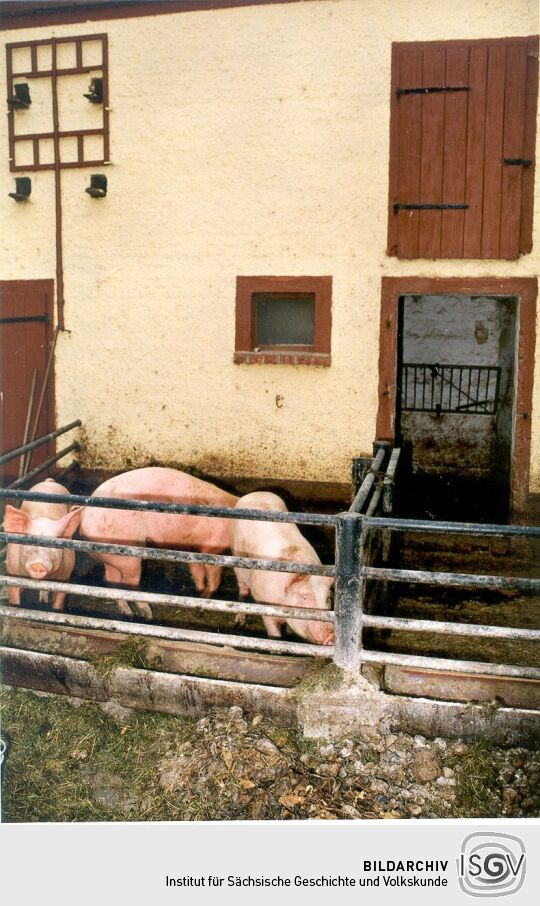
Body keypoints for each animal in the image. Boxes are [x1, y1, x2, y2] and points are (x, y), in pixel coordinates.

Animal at [3, 476, 83, 612]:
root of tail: (49, 482)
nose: (38, 565)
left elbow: (58, 602)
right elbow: (14, 600)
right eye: (29, 542)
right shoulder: (12, 573)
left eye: (54, 545)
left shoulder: (65, 577)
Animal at [79, 466, 237, 620]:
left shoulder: (192, 550)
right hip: (128, 557)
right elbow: (214, 577)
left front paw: (198, 592)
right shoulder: (213, 549)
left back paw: (128, 613)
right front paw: (205, 597)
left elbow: (197, 571)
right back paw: (148, 615)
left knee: (112, 582)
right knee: (129, 586)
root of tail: (85, 514)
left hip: (110, 556)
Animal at [231, 494, 334, 644]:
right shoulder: (265, 605)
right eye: (305, 597)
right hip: (236, 560)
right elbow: (274, 634)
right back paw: (239, 622)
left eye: (328, 597)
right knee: (243, 590)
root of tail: (256, 493)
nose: (331, 635)